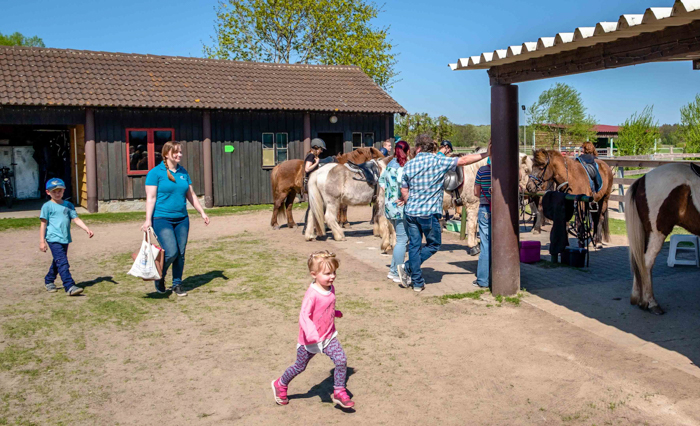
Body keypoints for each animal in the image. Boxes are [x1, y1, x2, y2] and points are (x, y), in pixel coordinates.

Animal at [624, 161, 700, 314]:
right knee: (647, 262)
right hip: (657, 233)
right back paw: (651, 303)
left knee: (640, 260)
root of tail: (642, 179)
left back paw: (637, 298)